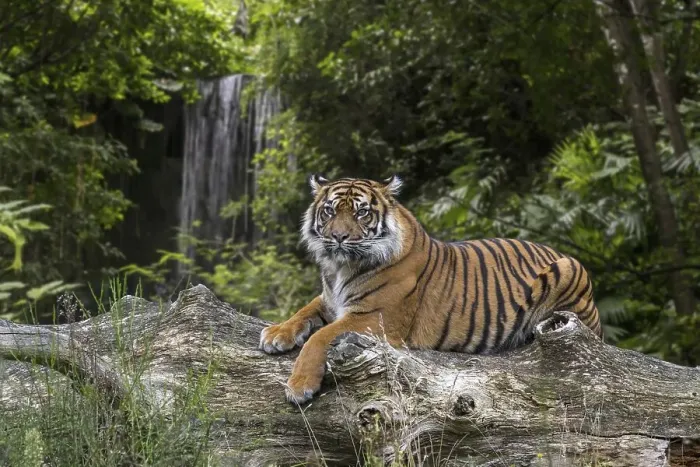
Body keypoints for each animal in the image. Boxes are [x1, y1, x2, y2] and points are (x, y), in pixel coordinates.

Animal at [259, 175, 603, 404]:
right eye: (329, 211)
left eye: (361, 212)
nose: (338, 237)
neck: (340, 268)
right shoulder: (330, 299)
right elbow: (304, 310)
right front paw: (277, 333)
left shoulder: (375, 316)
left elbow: (319, 337)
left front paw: (299, 386)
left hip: (569, 269)